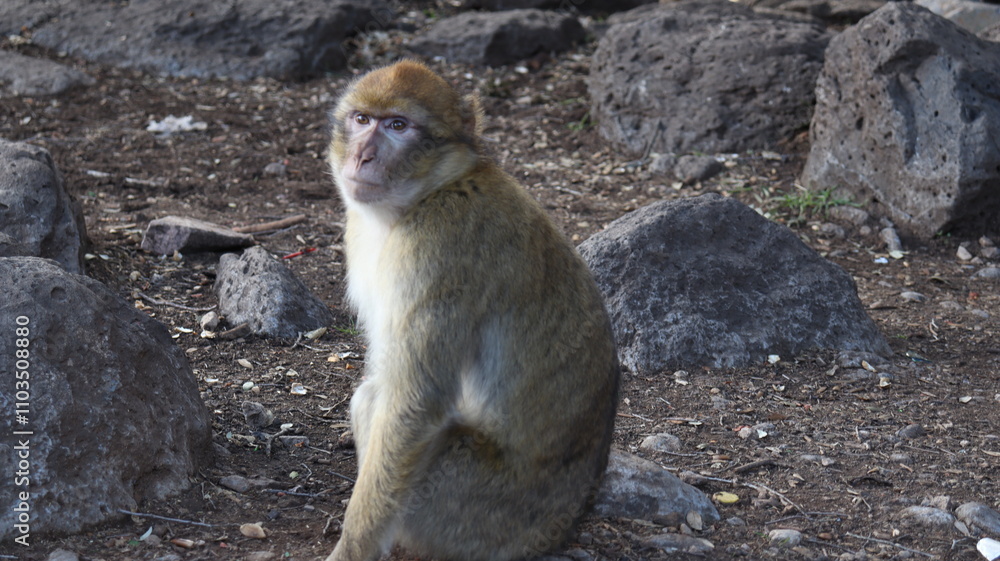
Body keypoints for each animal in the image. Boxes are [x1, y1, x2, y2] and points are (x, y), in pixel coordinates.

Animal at [325, 60, 619, 561]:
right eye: (362, 119)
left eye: (398, 126)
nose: (362, 156)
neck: (433, 190)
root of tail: (563, 526)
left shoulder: (439, 248)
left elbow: (415, 403)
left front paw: (353, 546)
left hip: (475, 510)